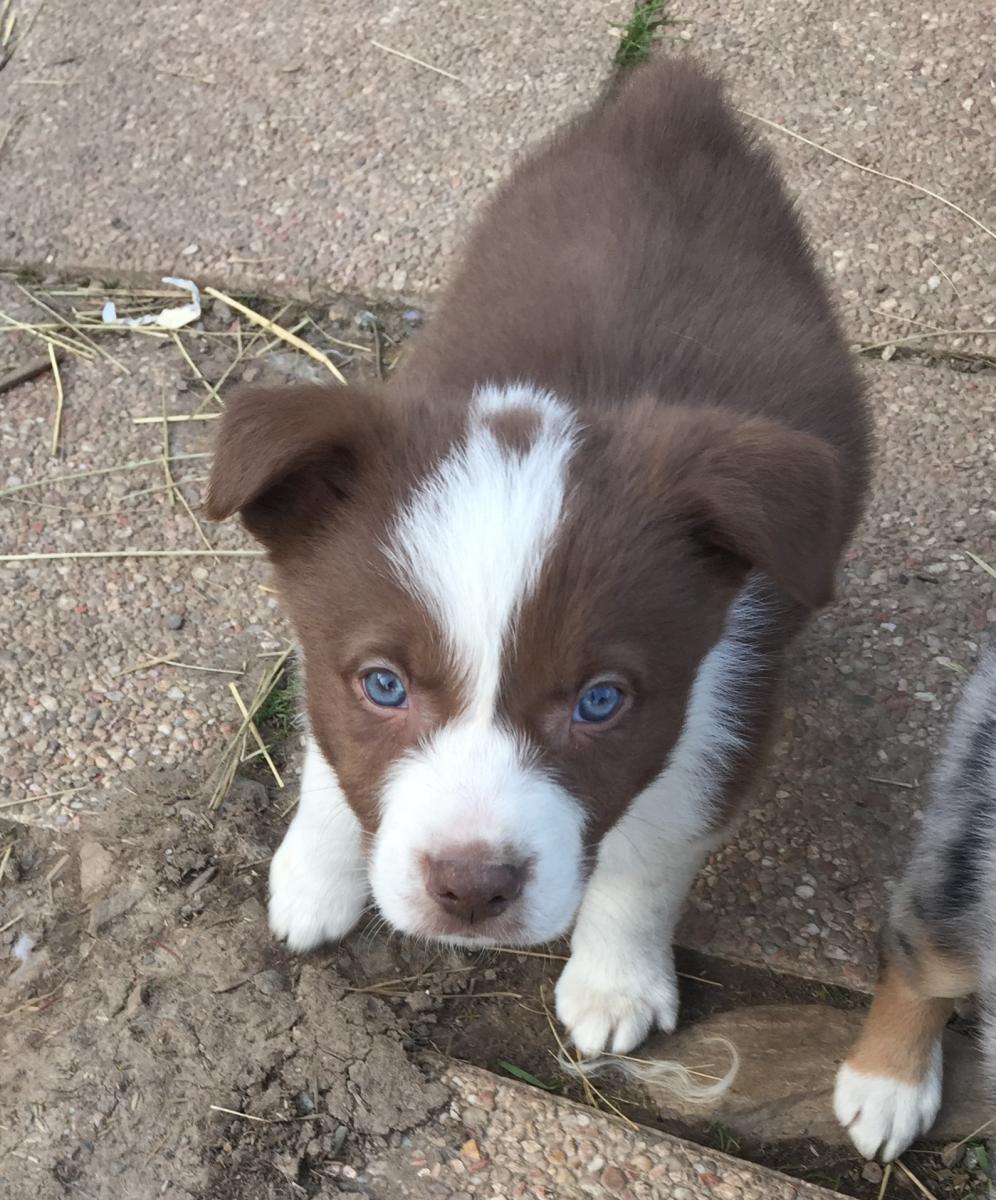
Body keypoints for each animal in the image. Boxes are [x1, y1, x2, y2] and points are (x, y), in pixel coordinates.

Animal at [208, 58, 873, 1051]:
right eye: (384, 685)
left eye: (600, 701)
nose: (471, 889)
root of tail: (669, 100)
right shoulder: (327, 662)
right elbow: (328, 752)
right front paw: (314, 875)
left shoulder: (723, 709)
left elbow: (650, 853)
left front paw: (616, 984)